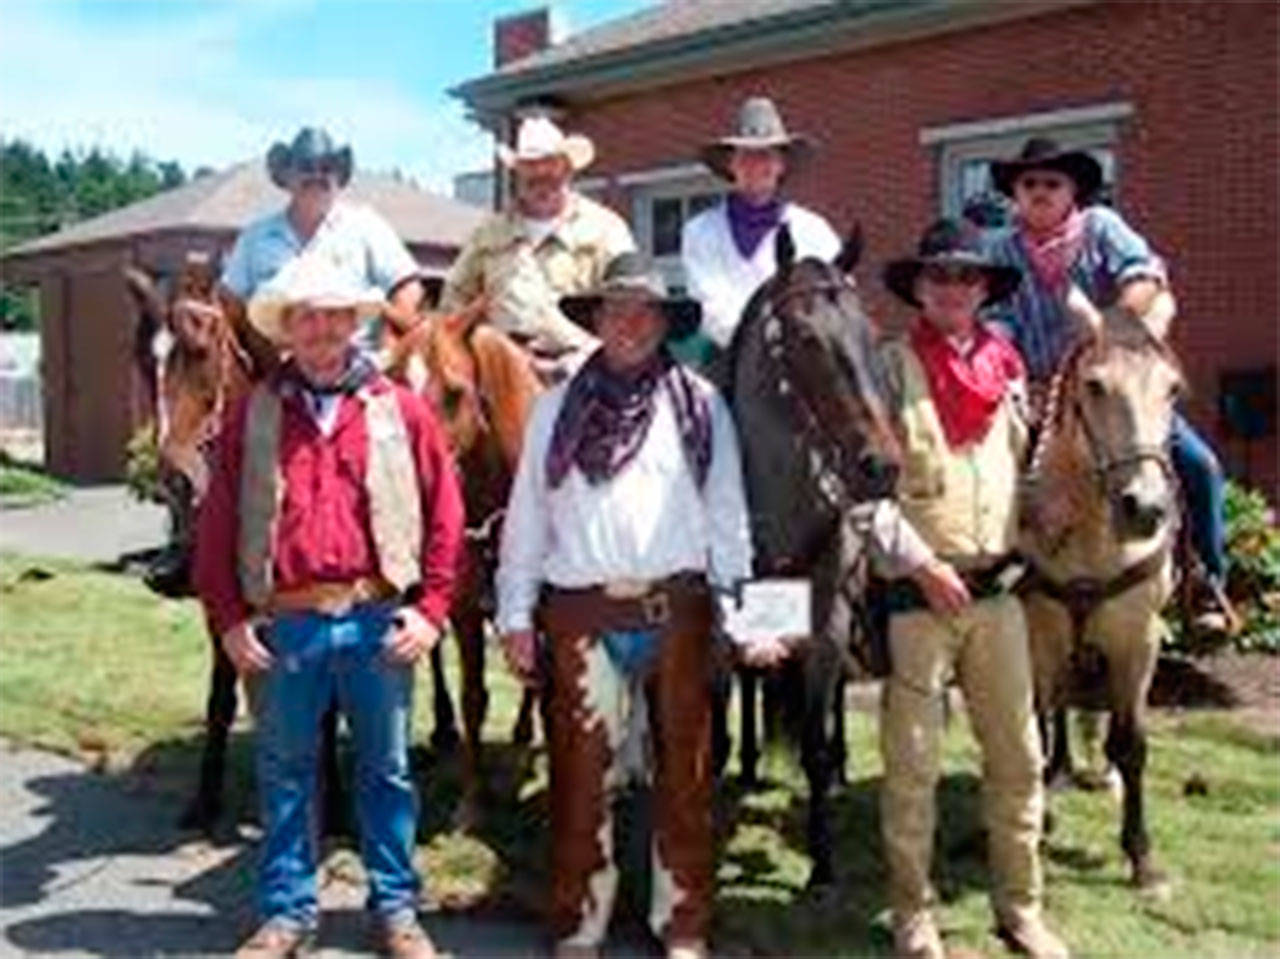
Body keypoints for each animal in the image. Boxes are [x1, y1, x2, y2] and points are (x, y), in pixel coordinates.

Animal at [721, 226, 901, 891]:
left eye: (869, 334)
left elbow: (816, 741)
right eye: (804, 338)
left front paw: (822, 863)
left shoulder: (827, 618)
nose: (880, 466)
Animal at [1013, 303, 1182, 896]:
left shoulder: (1139, 642)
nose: (1145, 508)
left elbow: (1131, 745)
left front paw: (1143, 859)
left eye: (1173, 389)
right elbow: (1038, 732)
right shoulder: (1038, 637)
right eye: (1094, 386)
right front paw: (1038, 827)